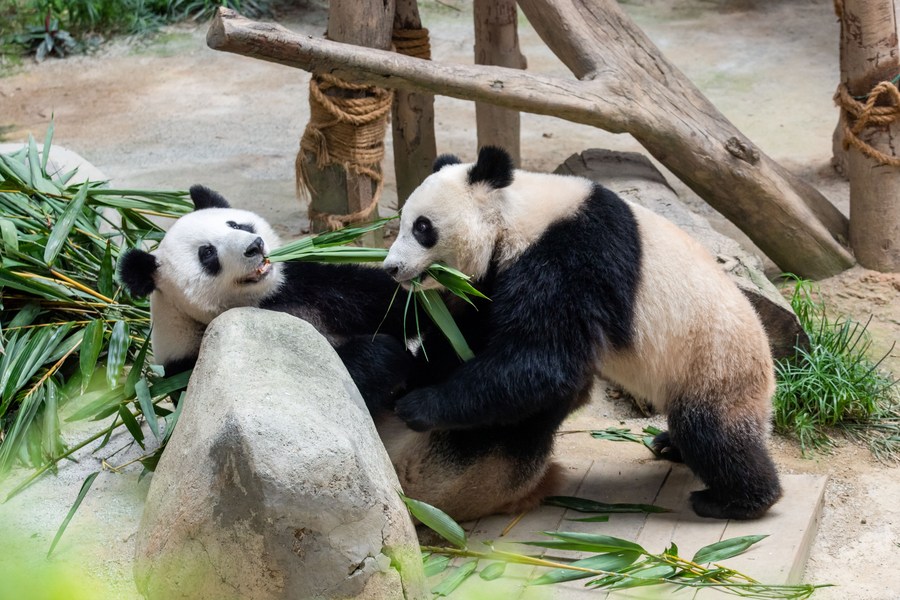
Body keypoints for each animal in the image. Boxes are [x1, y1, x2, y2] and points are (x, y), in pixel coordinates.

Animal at [118, 186, 414, 412]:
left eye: (235, 224)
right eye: (207, 253)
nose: (254, 246)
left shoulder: (301, 285)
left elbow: (377, 296)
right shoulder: (191, 364)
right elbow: (323, 383)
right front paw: (384, 352)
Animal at [384, 146, 784, 520]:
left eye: (422, 227)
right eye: (404, 221)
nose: (391, 268)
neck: (516, 216)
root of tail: (769, 366)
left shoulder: (573, 257)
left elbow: (546, 360)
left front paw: (419, 405)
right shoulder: (497, 277)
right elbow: (471, 333)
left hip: (714, 365)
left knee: (712, 434)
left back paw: (738, 500)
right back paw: (671, 446)